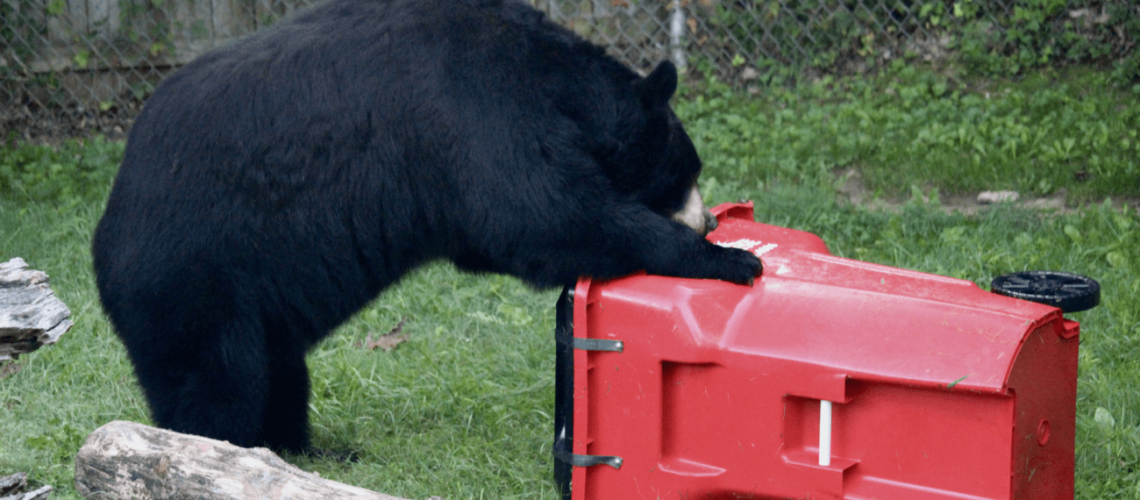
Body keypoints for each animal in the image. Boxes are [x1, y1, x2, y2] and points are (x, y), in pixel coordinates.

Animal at [91, 0, 762, 453]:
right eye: (686, 172)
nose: (707, 218)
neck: (548, 76)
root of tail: (104, 240)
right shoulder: (475, 112)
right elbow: (541, 215)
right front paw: (730, 258)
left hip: (252, 300)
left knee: (280, 373)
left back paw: (307, 449)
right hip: (195, 281)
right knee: (218, 385)